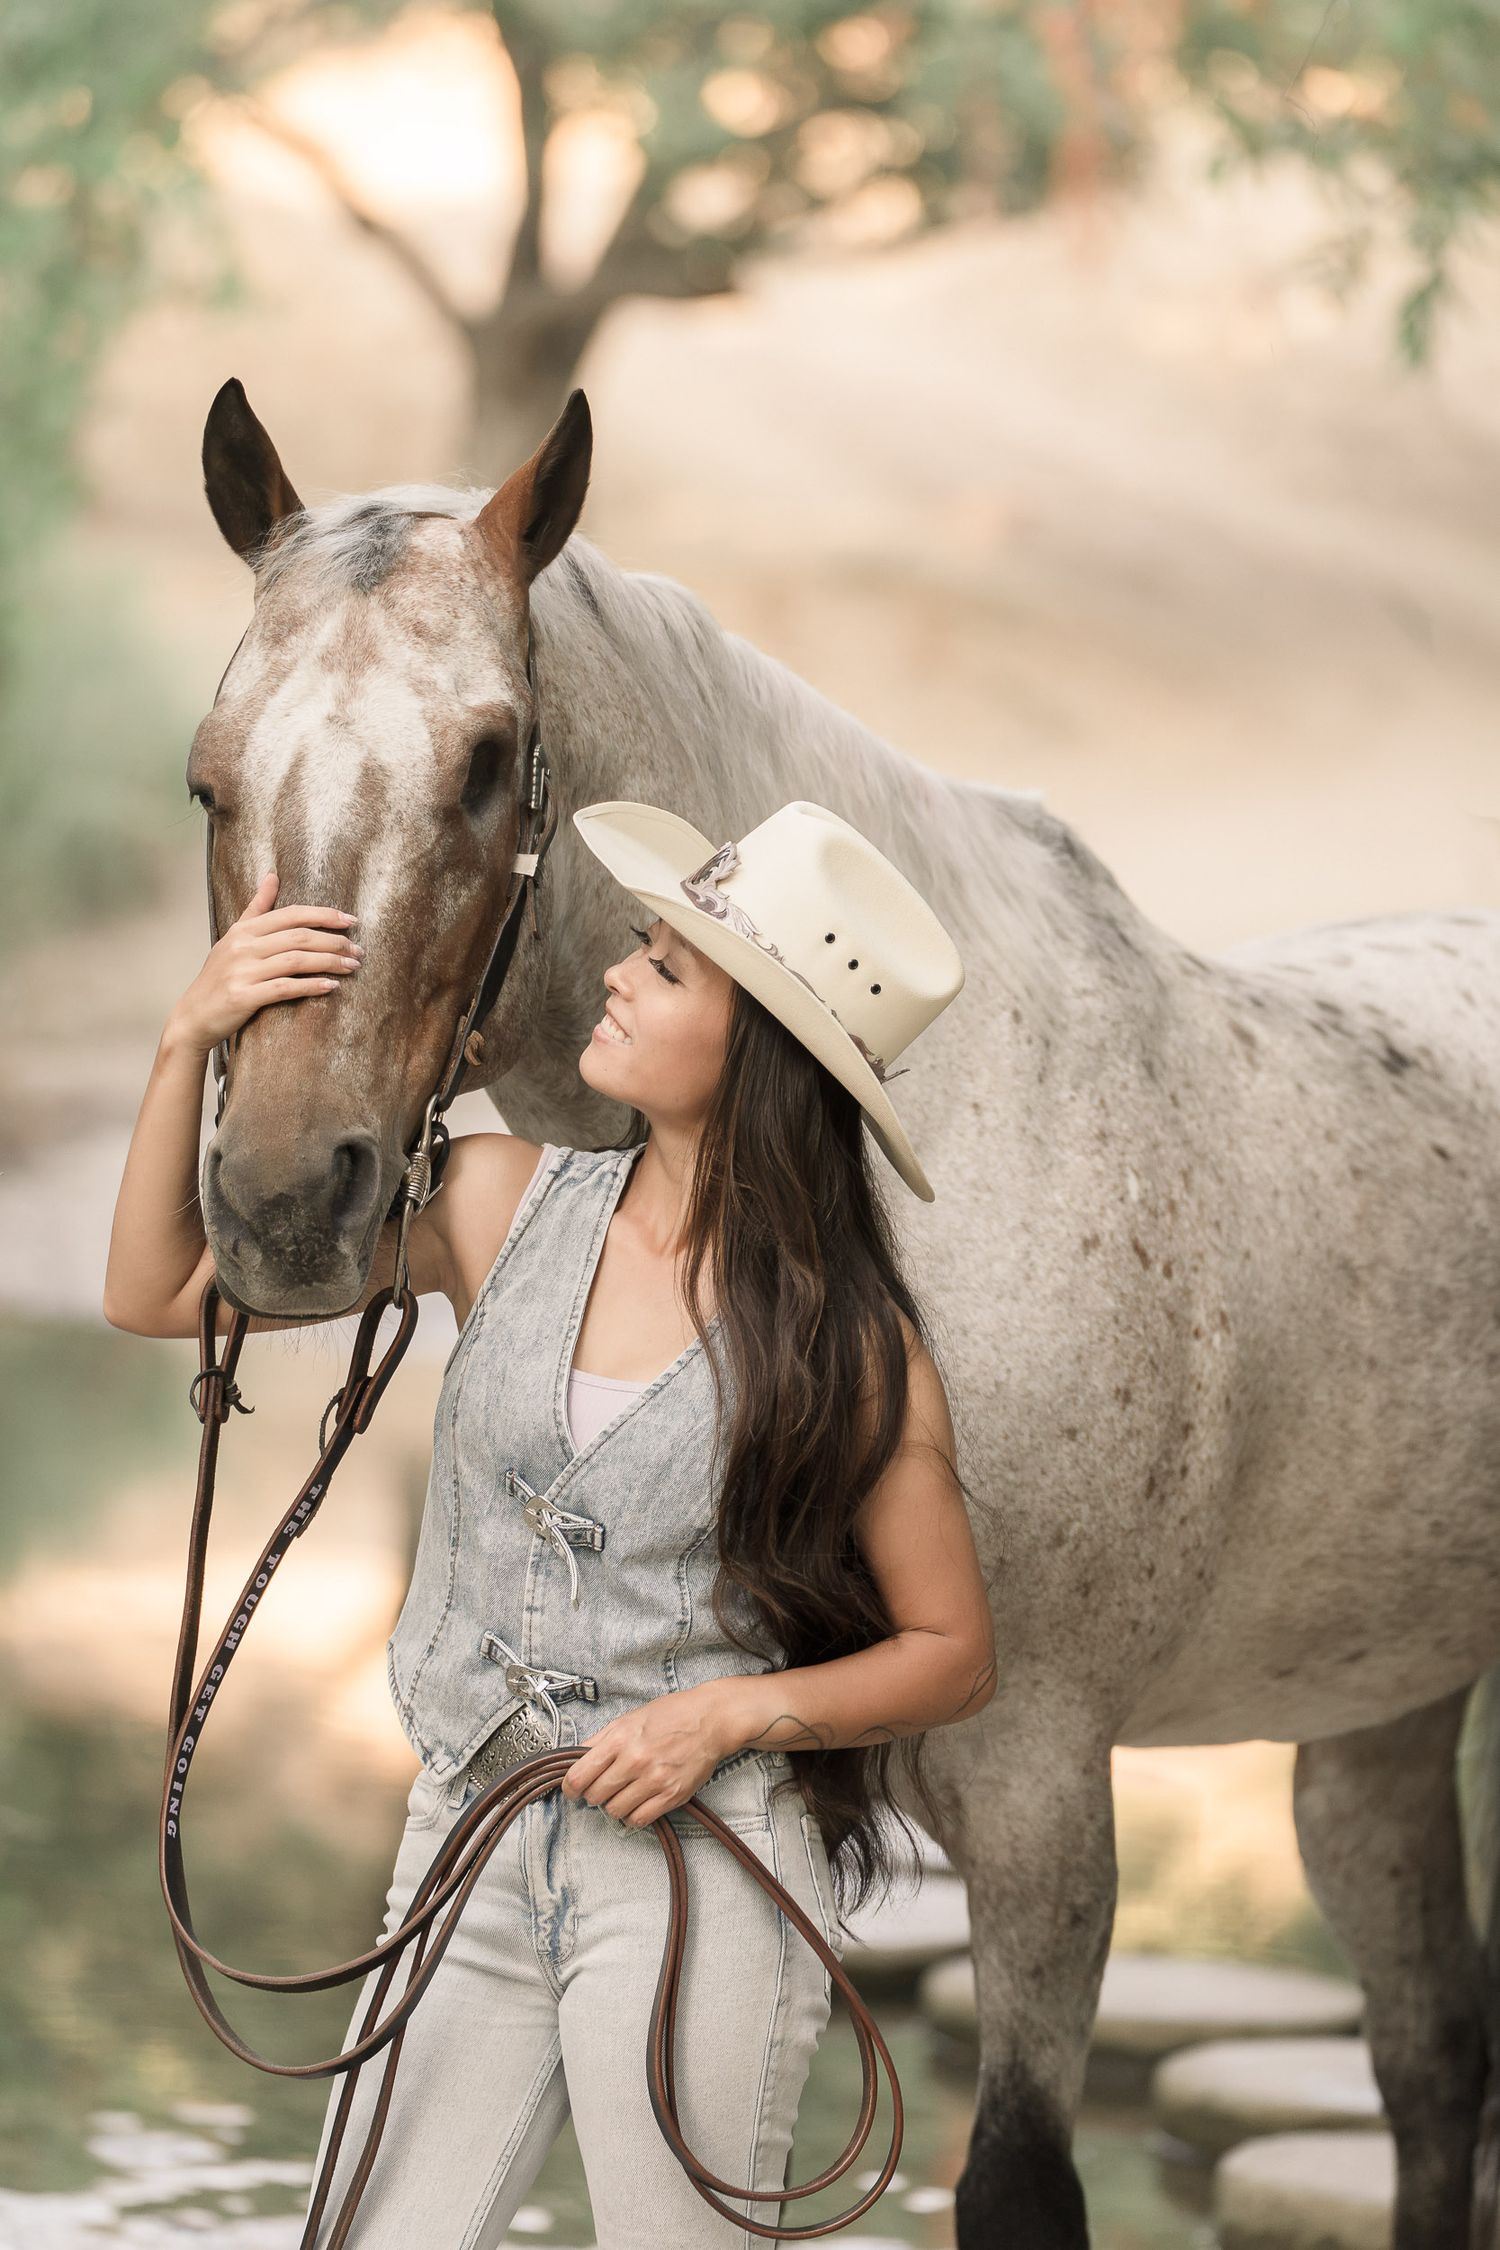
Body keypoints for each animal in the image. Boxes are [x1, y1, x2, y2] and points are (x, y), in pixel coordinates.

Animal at [190, 376, 1500, 2249]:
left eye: (491, 760)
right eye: (208, 774)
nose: (292, 1201)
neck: (917, 1152)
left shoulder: (1036, 1784)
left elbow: (1012, 2175)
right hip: (1380, 1719)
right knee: (1433, 2060)